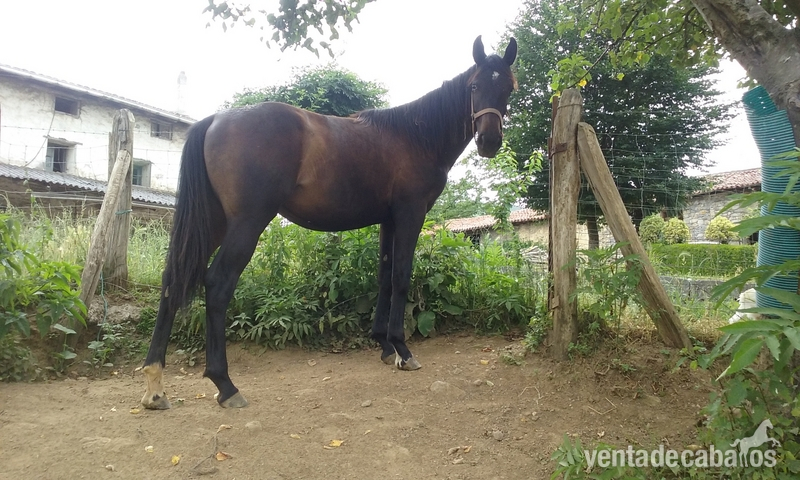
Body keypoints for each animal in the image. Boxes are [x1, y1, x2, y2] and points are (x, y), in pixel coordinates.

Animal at [141, 35, 518, 409]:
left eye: (508, 89)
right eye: (474, 86)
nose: (489, 141)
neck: (416, 136)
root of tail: (215, 119)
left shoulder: (388, 220)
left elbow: (383, 278)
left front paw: (384, 345)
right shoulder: (410, 213)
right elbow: (400, 278)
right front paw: (402, 350)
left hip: (214, 223)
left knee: (173, 280)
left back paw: (155, 385)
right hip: (246, 223)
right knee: (217, 284)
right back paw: (225, 384)